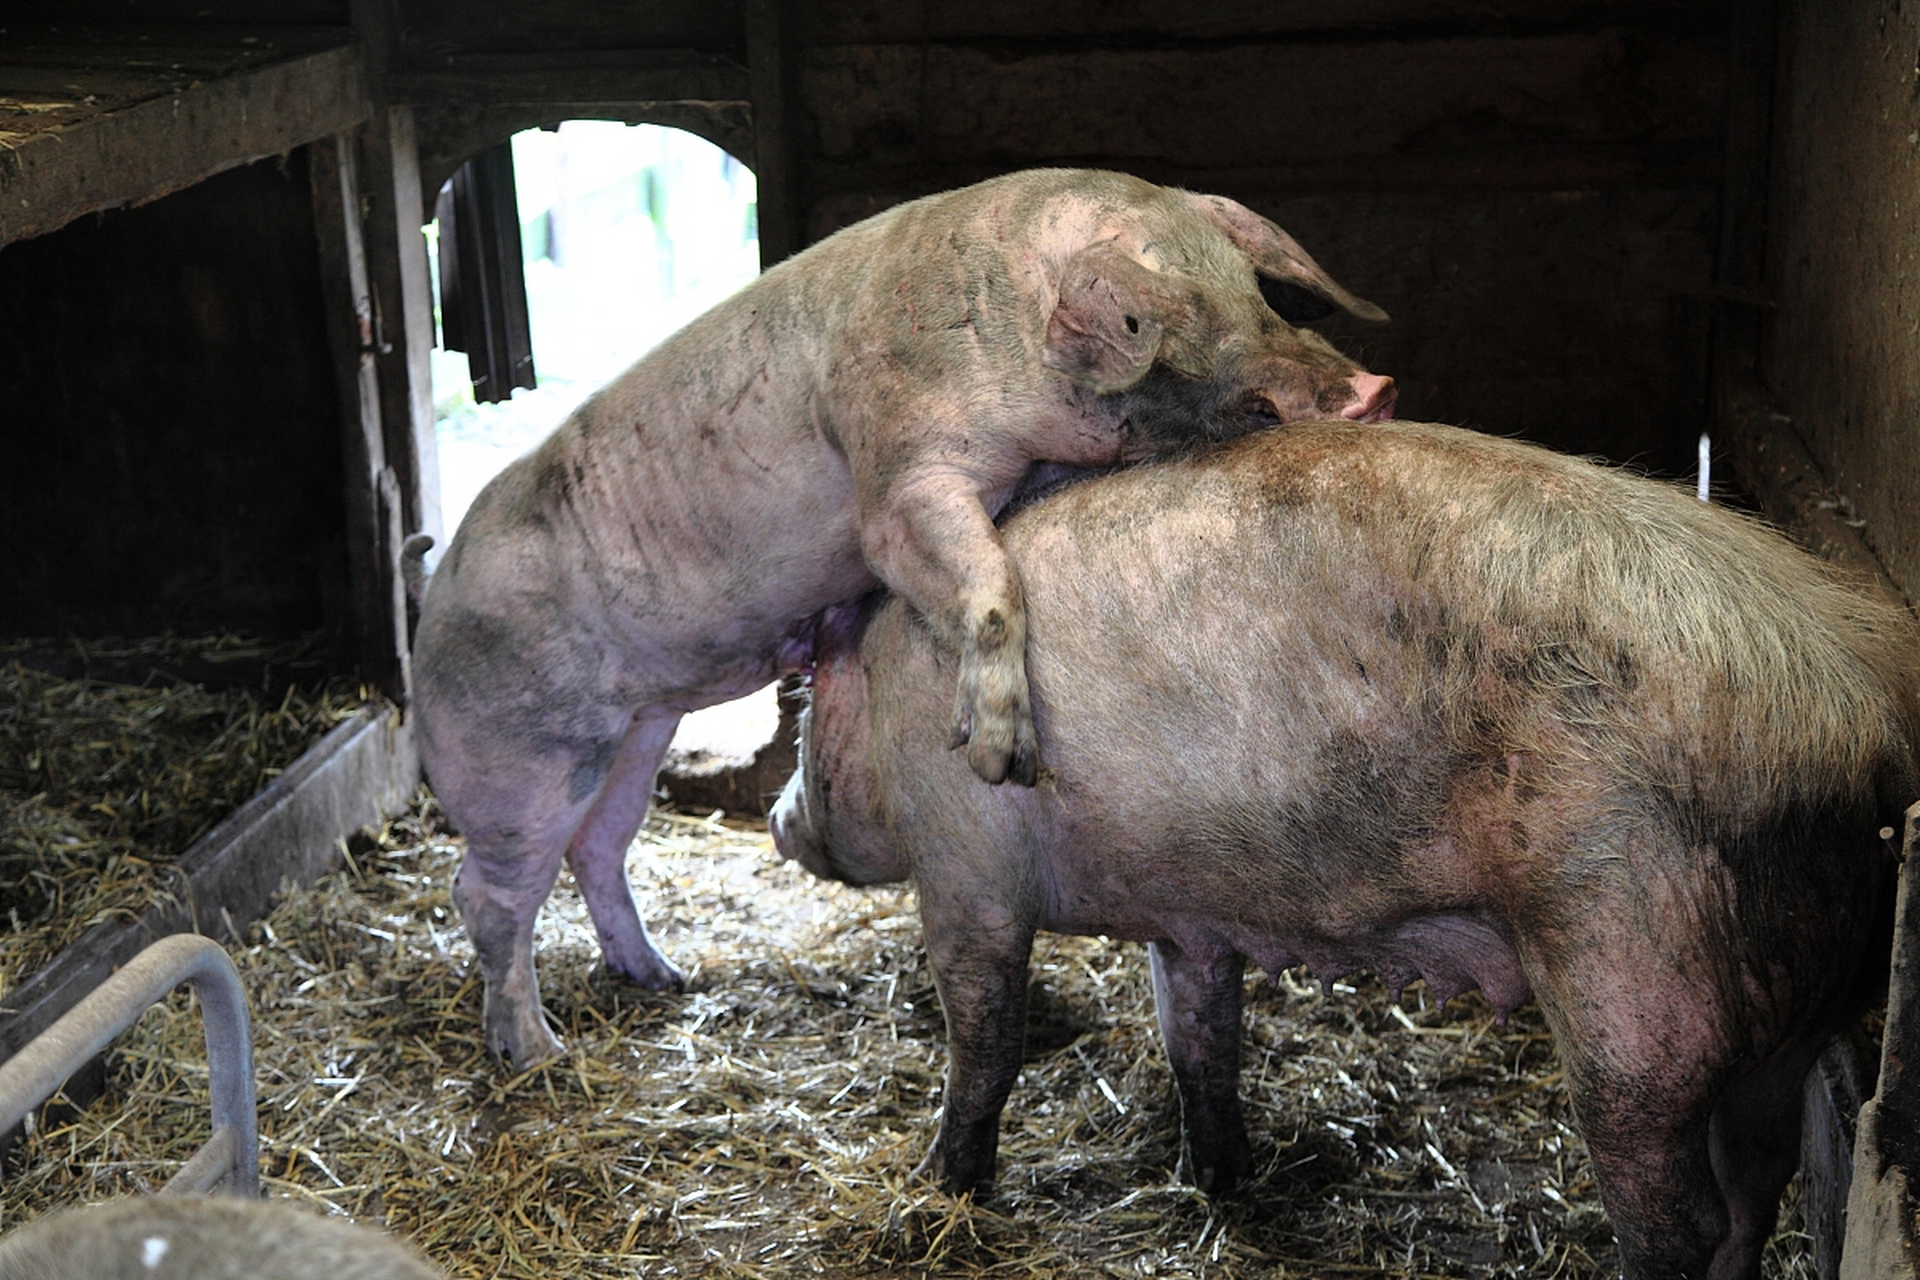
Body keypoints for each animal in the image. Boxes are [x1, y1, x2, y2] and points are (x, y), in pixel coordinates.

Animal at [408, 169, 1397, 1074]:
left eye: (1254, 284)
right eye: (1156, 319)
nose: (1374, 389)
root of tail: (433, 593)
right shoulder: (898, 477)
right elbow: (982, 577)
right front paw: (1000, 756)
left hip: (636, 735)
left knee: (599, 848)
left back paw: (663, 977)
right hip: (519, 754)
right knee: (486, 894)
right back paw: (536, 1054)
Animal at [768, 420, 1920, 1280]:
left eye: (798, 707)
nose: (778, 816)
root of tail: (1855, 704)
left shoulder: (964, 864)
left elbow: (987, 1036)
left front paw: (945, 1184)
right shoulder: (1189, 913)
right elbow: (1198, 1032)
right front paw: (1216, 1177)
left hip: (1635, 972)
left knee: (1682, 1213)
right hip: (1792, 1014)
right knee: (1759, 1182)